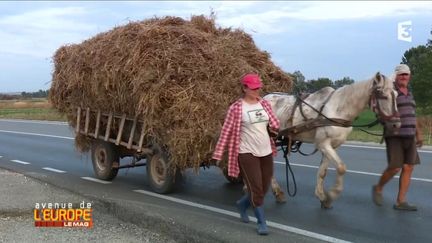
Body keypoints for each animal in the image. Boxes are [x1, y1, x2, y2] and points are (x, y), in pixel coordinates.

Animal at [264, 72, 402, 209]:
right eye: (384, 96)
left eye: (396, 95)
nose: (397, 124)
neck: (339, 109)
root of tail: (265, 97)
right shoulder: (323, 143)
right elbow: (341, 168)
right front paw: (333, 193)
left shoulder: (333, 145)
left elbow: (323, 172)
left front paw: (322, 196)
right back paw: (277, 192)